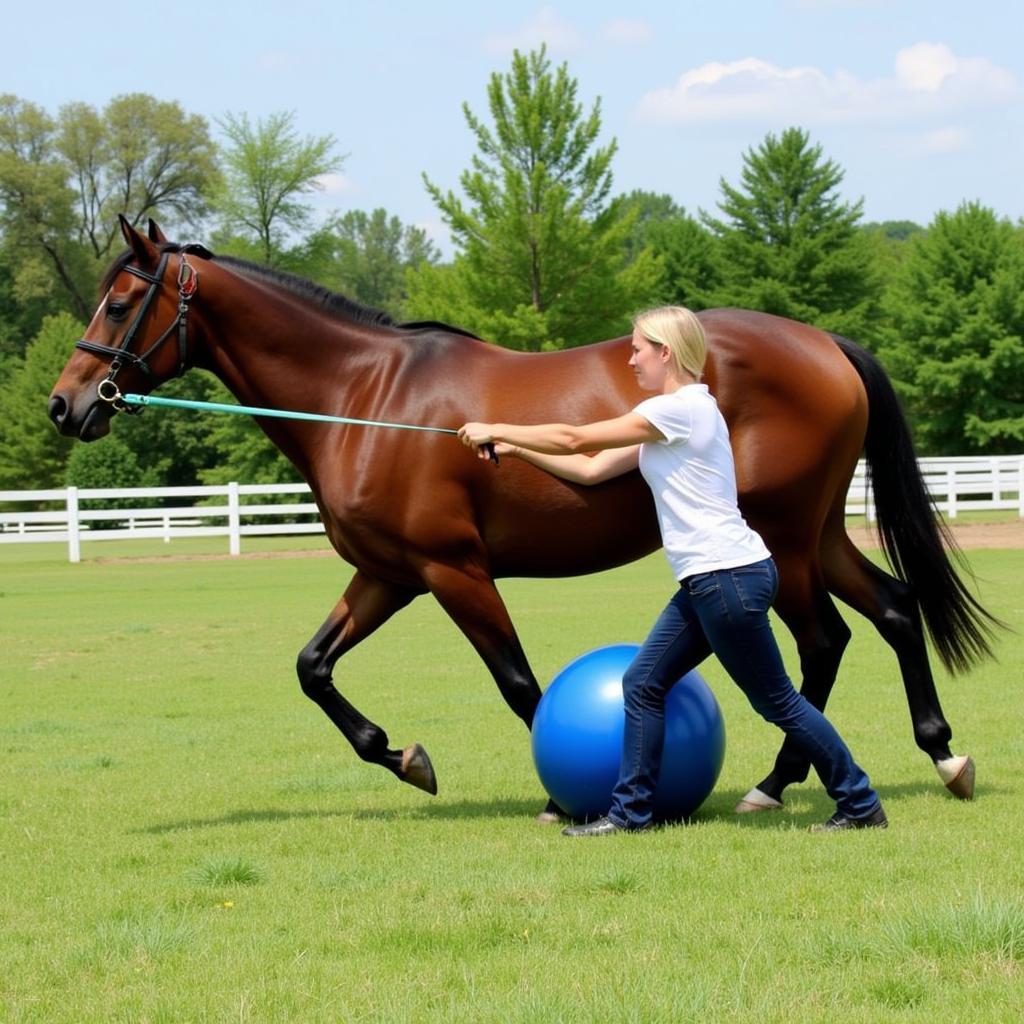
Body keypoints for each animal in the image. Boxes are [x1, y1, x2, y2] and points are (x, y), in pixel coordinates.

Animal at [49, 220, 999, 819]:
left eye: (121, 300)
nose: (67, 404)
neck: (363, 399)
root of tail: (827, 344)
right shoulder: (388, 574)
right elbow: (313, 668)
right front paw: (403, 758)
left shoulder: (453, 571)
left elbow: (519, 686)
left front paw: (555, 792)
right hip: (816, 534)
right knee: (891, 609)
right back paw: (935, 753)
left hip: (787, 539)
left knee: (825, 639)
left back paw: (787, 778)